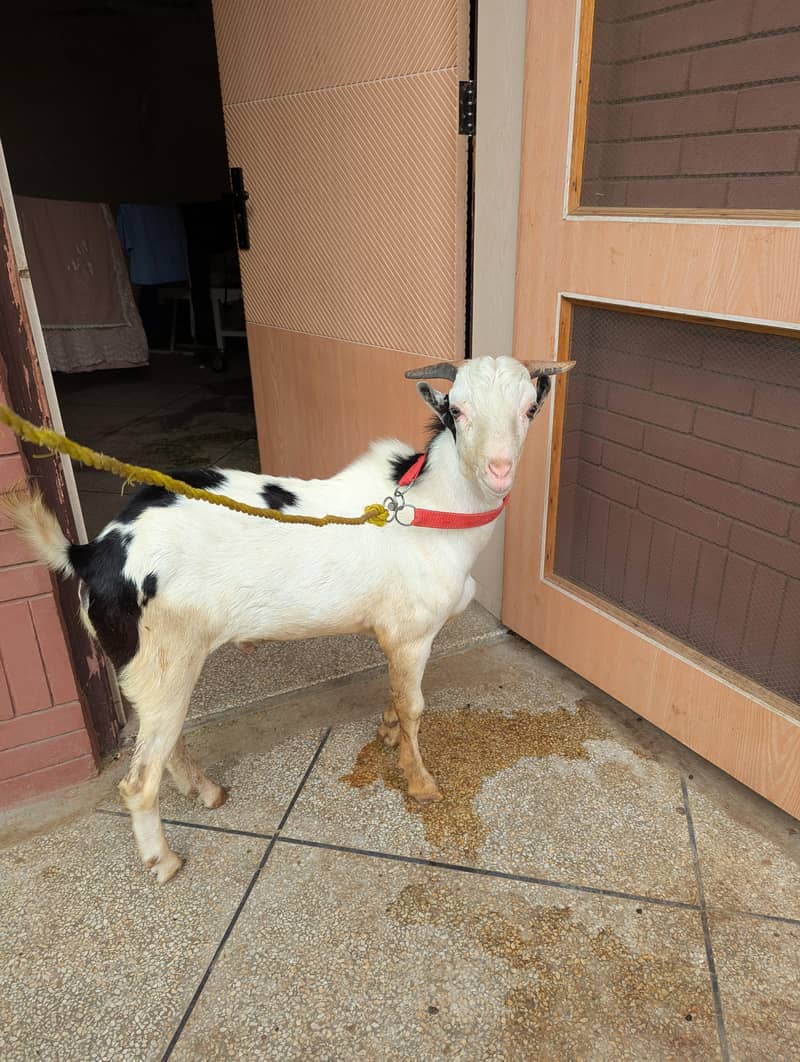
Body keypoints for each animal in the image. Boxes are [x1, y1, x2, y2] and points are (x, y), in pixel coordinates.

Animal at [2, 355, 573, 882]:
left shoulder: (392, 636)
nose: (498, 470)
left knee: (163, 736)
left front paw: (387, 733)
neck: (430, 510)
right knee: (139, 778)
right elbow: (414, 705)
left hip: (154, 663)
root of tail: (91, 553)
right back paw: (163, 860)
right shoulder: (411, 633)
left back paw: (205, 791)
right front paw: (421, 782)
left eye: (529, 408)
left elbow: (394, 696)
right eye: (457, 410)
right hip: (164, 655)